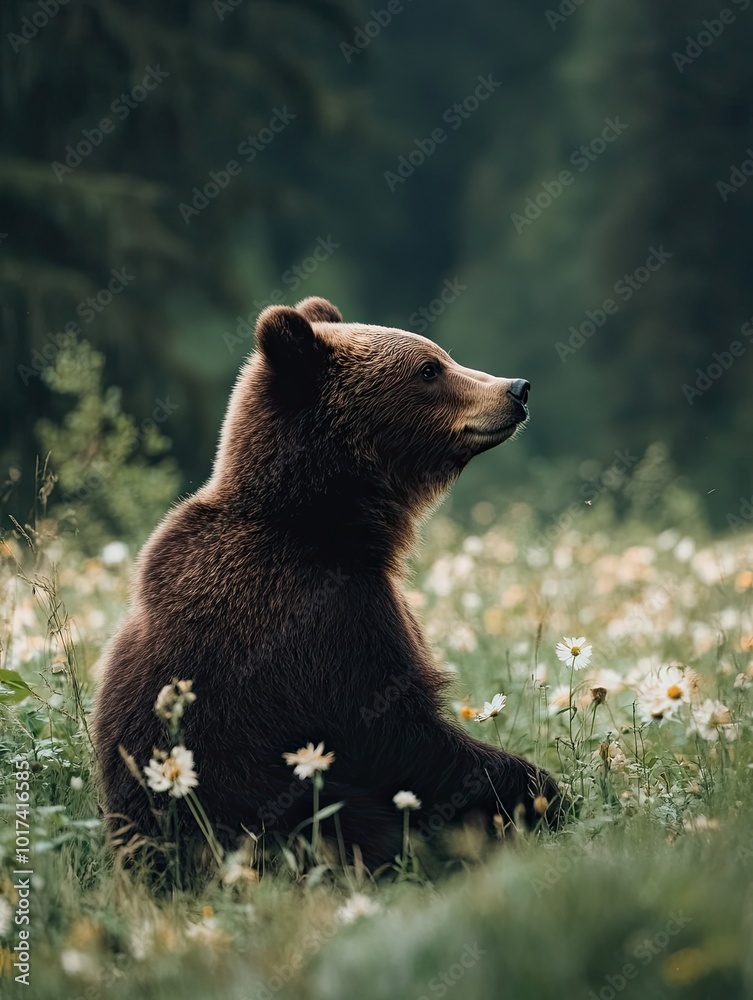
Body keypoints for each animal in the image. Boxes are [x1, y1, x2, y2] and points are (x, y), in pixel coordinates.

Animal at [92, 295, 561, 873]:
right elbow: (394, 732)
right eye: (429, 369)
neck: (326, 524)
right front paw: (540, 791)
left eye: (441, 357)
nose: (516, 388)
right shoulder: (320, 619)